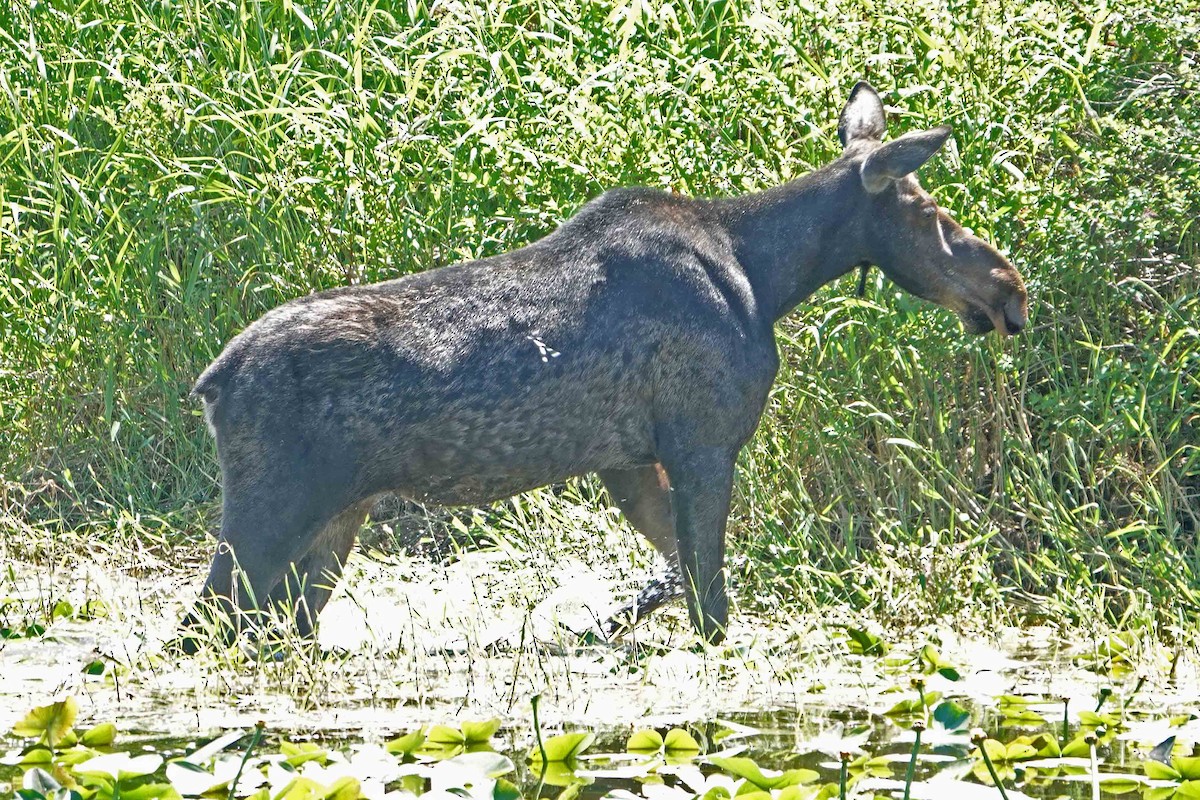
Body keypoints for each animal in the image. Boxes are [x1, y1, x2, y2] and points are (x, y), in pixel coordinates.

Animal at [179, 81, 1028, 653]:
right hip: (270, 508)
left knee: (272, 627)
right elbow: (712, 603)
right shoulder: (702, 441)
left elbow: (677, 573)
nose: (1008, 288)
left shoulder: (626, 460)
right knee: (199, 625)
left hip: (334, 519)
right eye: (931, 214)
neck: (769, 274)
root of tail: (212, 382)